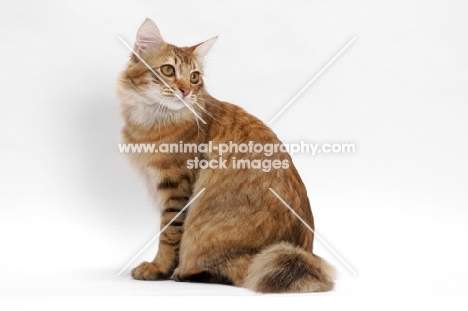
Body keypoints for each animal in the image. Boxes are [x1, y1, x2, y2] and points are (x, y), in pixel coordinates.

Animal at [117, 18, 336, 292]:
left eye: (194, 77)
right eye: (168, 70)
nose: (186, 91)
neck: (152, 118)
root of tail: (305, 253)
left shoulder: (176, 187)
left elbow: (168, 234)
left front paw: (158, 268)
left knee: (240, 273)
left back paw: (187, 273)